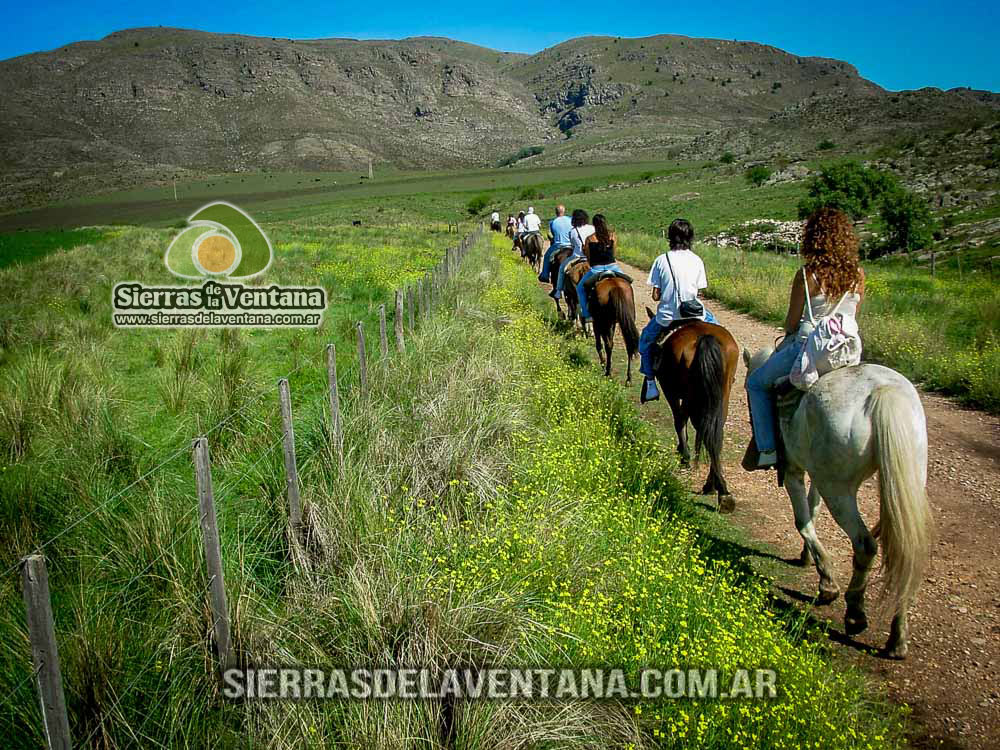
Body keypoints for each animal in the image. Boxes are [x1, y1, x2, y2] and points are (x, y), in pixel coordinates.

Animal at [644, 308, 740, 516]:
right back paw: (720, 490)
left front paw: (684, 454)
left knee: (693, 424)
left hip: (690, 394)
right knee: (715, 434)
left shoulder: (670, 390)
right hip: (721, 395)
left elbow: (679, 420)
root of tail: (705, 337)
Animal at [744, 350, 928, 660]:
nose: (750, 459)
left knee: (865, 545)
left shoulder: (794, 470)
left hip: (839, 490)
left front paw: (827, 584)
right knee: (906, 551)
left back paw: (855, 614)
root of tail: (882, 391)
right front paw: (808, 559)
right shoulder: (817, 475)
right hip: (901, 478)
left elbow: (803, 520)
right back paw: (897, 640)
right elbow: (813, 509)